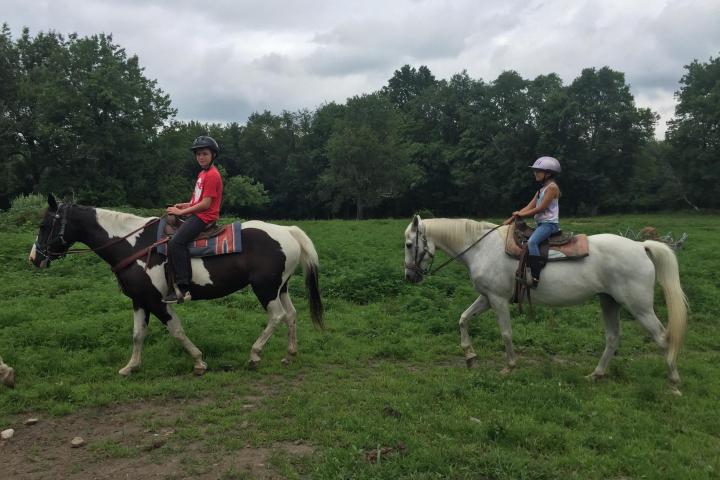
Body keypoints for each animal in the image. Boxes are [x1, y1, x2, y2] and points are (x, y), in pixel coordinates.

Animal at [29, 195, 324, 376]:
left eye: (44, 225)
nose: (34, 258)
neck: (133, 246)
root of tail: (287, 231)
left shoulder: (157, 301)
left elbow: (177, 331)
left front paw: (199, 361)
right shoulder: (139, 300)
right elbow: (137, 334)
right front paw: (130, 367)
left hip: (265, 289)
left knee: (277, 316)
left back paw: (254, 355)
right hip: (280, 287)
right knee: (292, 315)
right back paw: (289, 354)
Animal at [404, 215, 688, 393]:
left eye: (408, 244)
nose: (410, 276)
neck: (481, 248)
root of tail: (641, 246)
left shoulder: (498, 300)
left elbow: (506, 333)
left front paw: (509, 366)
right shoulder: (486, 297)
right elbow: (463, 318)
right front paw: (470, 356)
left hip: (639, 306)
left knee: (662, 338)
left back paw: (674, 382)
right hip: (610, 302)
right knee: (612, 338)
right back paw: (596, 374)